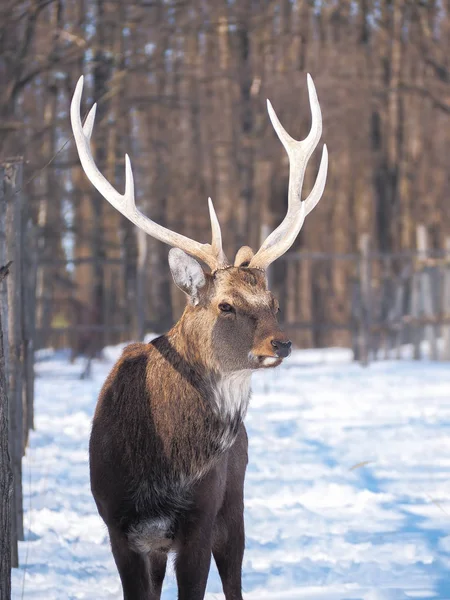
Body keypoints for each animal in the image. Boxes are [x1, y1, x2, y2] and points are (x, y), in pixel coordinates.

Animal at [71, 75, 326, 600]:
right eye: (225, 304)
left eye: (273, 303)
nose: (282, 343)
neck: (161, 464)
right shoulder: (118, 526)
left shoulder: (201, 519)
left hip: (235, 505)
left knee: (235, 582)